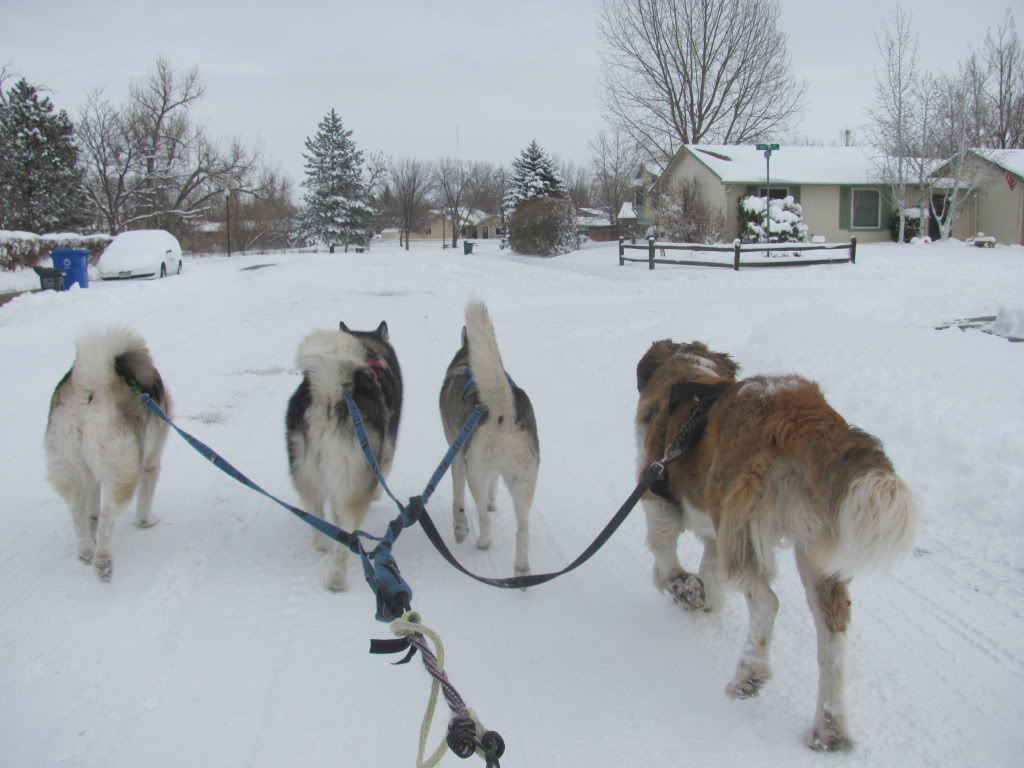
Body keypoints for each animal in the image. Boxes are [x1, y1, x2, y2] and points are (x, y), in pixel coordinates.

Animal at [44, 325, 171, 581]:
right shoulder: (150, 464)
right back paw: (102, 560)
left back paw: (86, 550)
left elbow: (91, 512)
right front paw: (147, 522)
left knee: (78, 512)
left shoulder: (92, 476)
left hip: (69, 467)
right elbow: (144, 502)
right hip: (123, 471)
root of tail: (91, 387)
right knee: (108, 516)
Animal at [288, 321, 403, 593]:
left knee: (317, 517)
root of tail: (330, 396)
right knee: (346, 532)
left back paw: (323, 542)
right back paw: (337, 579)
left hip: (306, 472)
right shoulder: (385, 454)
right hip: (353, 478)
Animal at [634, 342, 917, 753]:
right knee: (833, 638)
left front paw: (684, 589)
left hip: (740, 522)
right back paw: (829, 729)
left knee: (767, 600)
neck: (688, 376)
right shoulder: (715, 530)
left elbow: (665, 556)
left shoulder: (659, 497)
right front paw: (704, 597)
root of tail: (800, 411)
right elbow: (710, 569)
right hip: (816, 551)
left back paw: (750, 673)